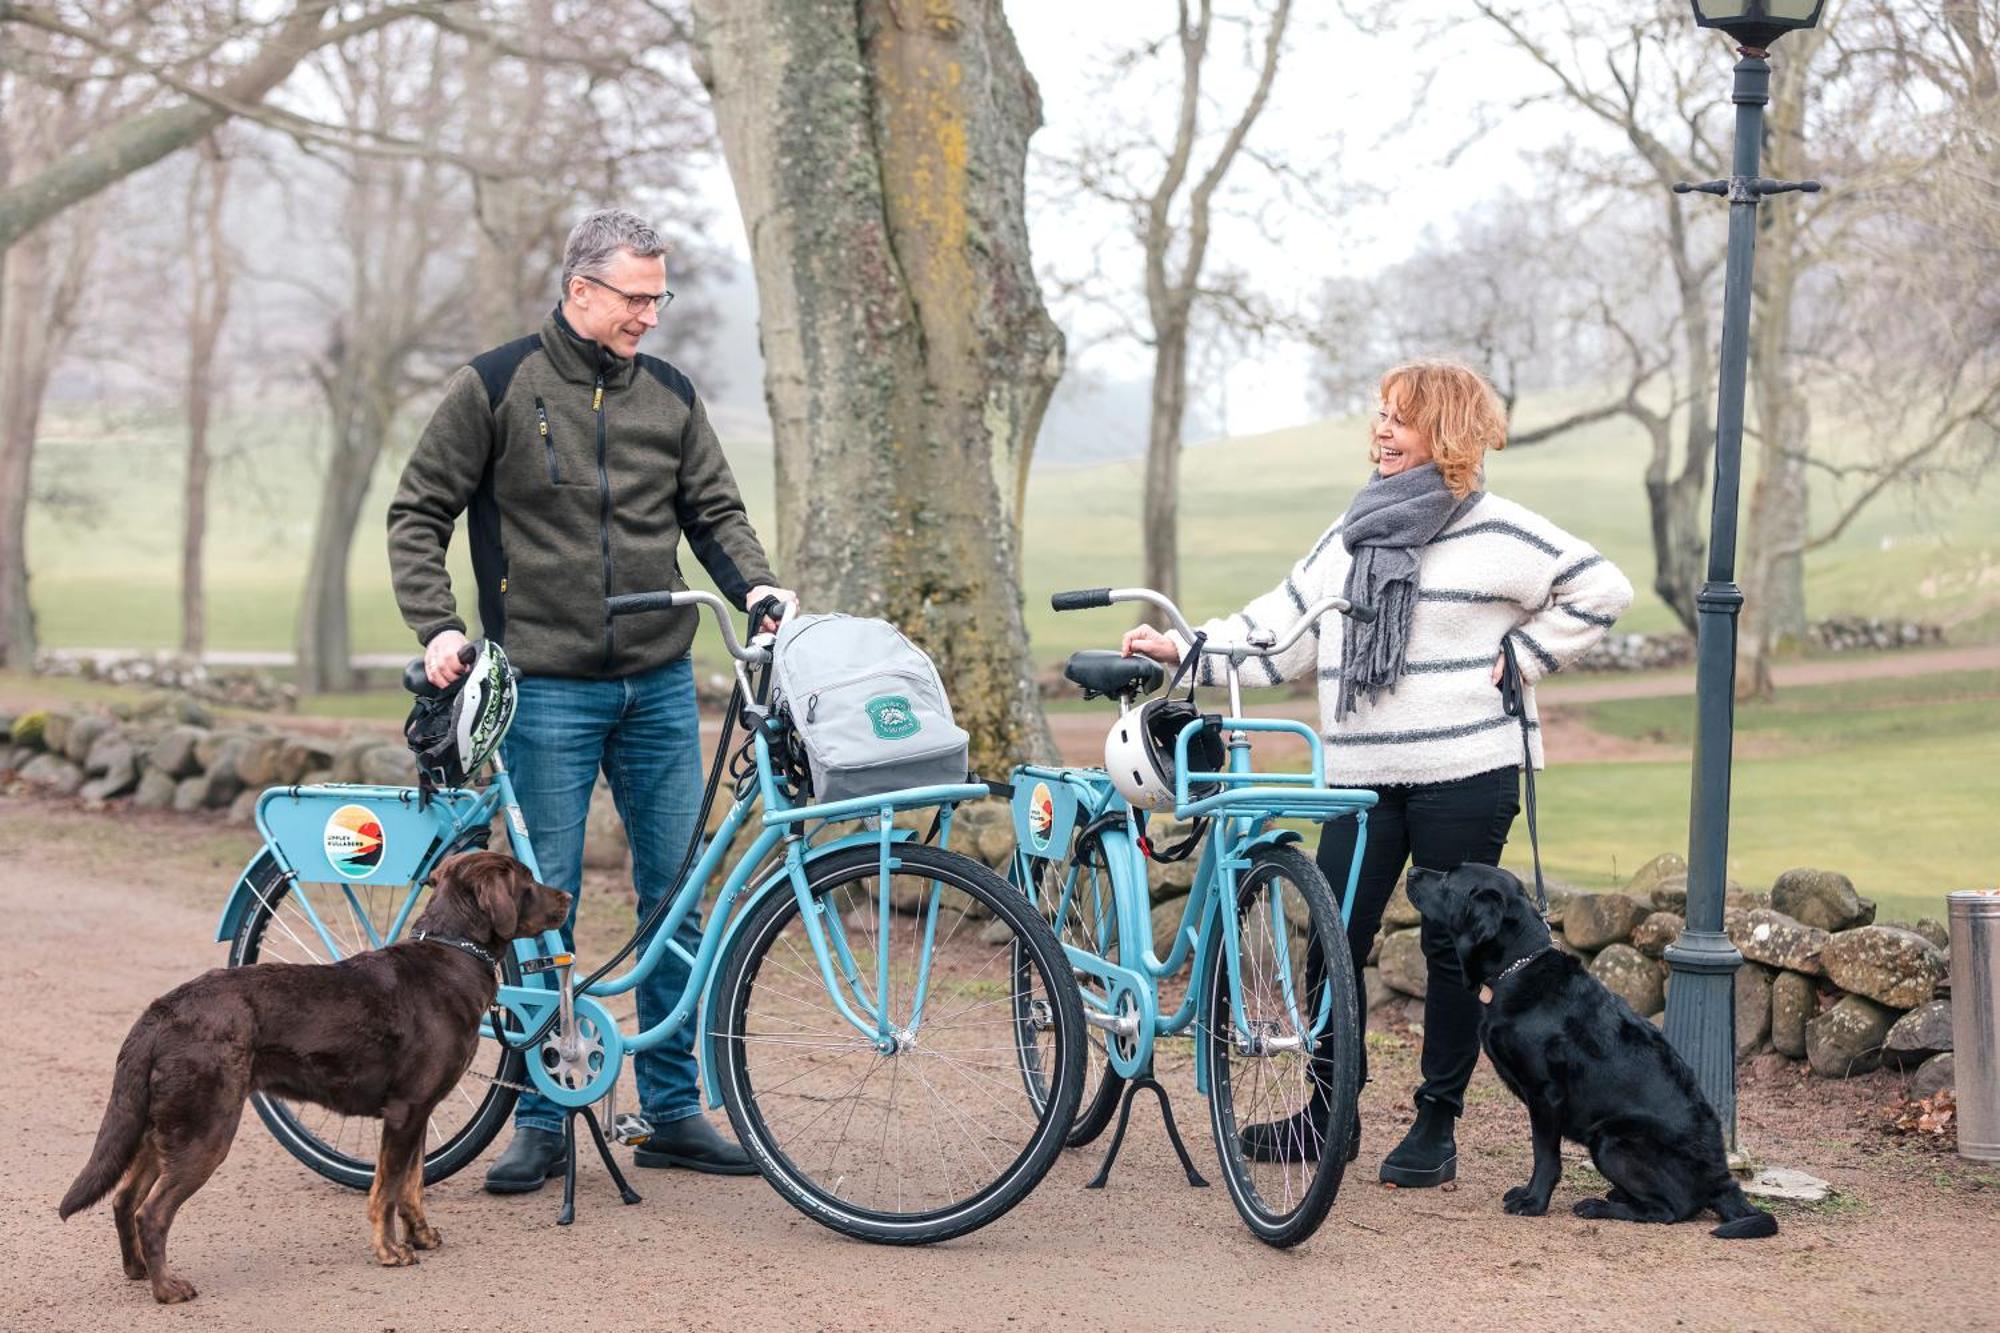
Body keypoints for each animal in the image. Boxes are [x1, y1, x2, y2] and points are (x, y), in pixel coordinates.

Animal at [56, 852, 572, 1296]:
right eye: (527, 879)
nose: (567, 896)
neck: (455, 954)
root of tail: (160, 1011)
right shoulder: (404, 1112)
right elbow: (386, 1191)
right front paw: (390, 1252)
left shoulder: (420, 1113)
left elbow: (412, 1187)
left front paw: (421, 1237)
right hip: (206, 1127)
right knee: (152, 1212)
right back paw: (168, 1290)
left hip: (159, 1123)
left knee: (124, 1199)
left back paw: (138, 1270)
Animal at [1408, 860, 1784, 1232]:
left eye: (1449, 880)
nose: (1411, 872)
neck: (1516, 968)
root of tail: (1722, 1179)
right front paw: (1527, 1194)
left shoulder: (1546, 1094)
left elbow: (1544, 1156)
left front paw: (1534, 1202)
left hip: (1610, 1140)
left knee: (1670, 1210)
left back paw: (1597, 1206)